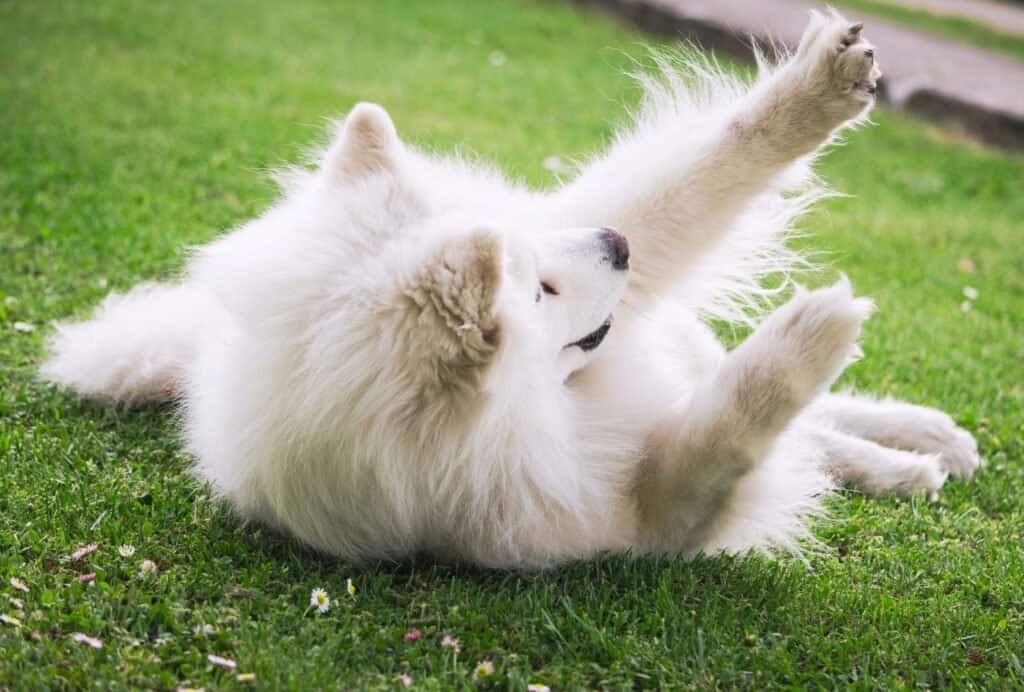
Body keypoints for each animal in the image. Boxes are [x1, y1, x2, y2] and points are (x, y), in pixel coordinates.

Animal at [44, 13, 978, 569]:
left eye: (537, 262)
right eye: (539, 290)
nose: (616, 242)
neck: (548, 407)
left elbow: (716, 164)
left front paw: (820, 88)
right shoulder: (651, 515)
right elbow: (732, 430)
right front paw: (815, 330)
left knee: (822, 424)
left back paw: (927, 441)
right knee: (807, 435)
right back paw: (910, 464)